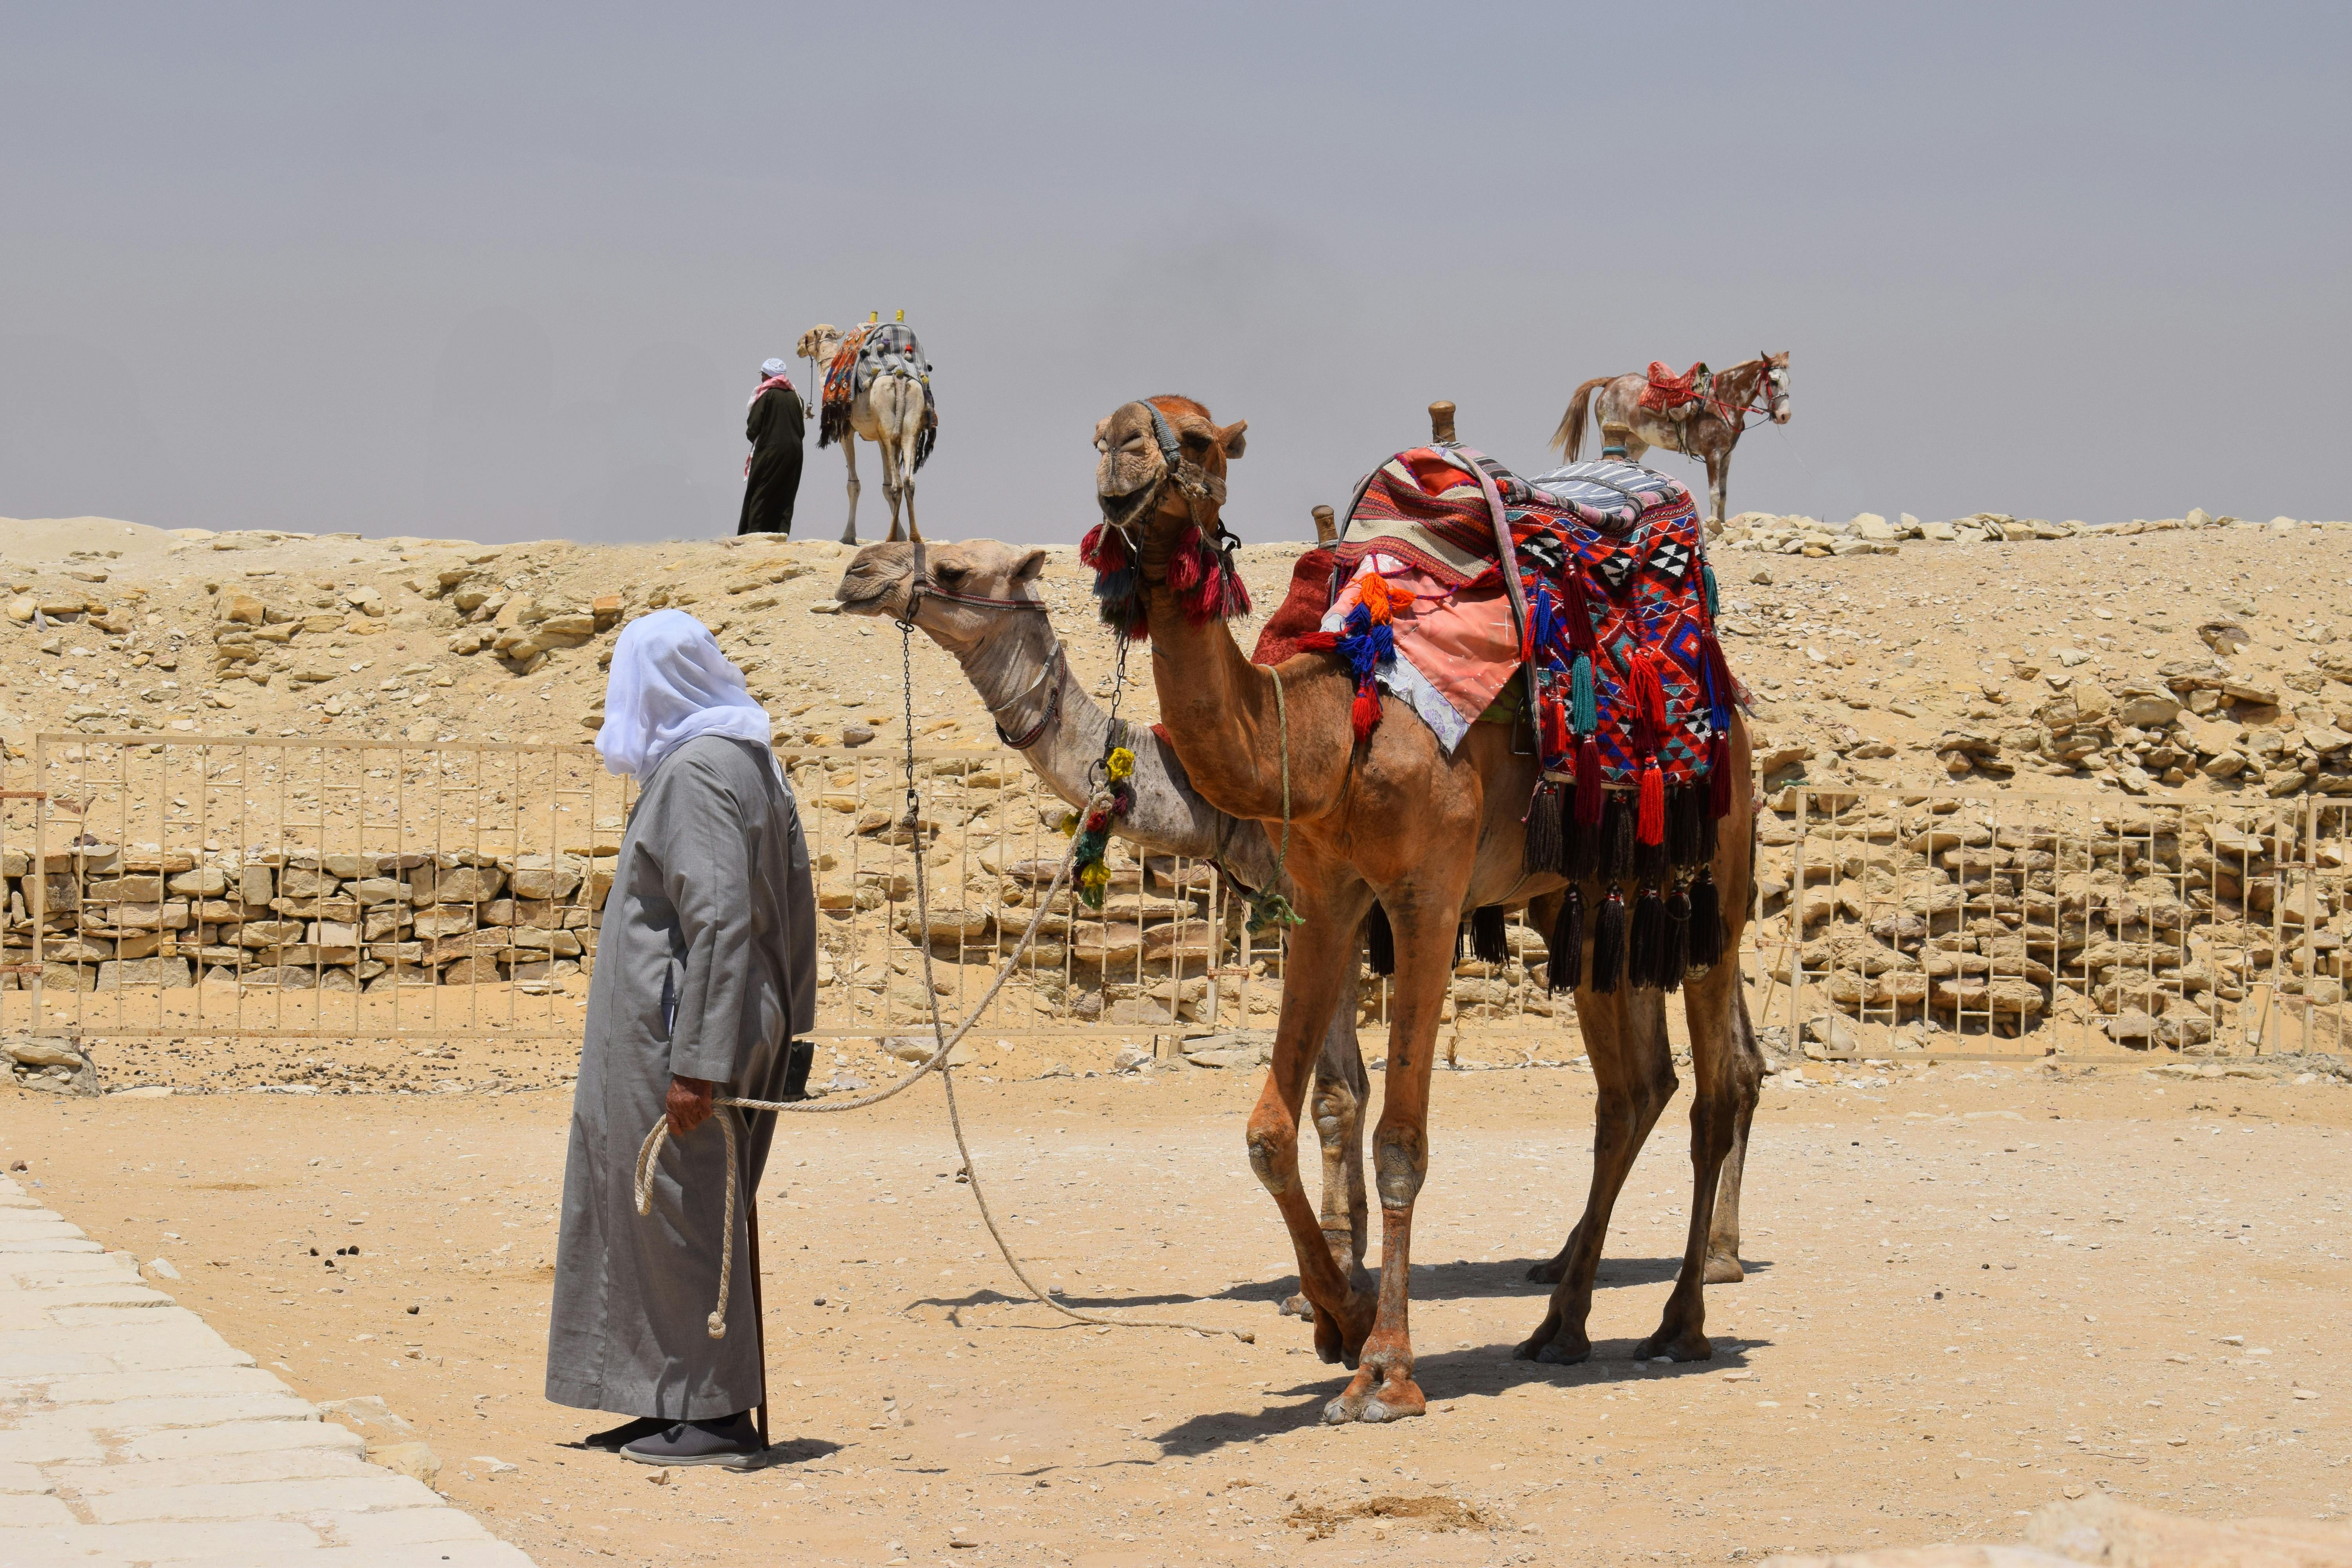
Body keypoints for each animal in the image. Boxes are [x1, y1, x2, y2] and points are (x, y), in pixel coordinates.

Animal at [797, 319, 937, 545]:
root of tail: (900, 377)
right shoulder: (879, 438)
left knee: (898, 483)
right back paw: (915, 537)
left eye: (808, 336)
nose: (799, 346)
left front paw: (848, 537)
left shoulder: (846, 430)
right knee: (907, 481)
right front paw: (902, 535)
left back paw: (891, 537)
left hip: (886, 420)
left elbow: (854, 485)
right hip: (909, 421)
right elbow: (886, 484)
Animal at [1092, 395, 1764, 1423]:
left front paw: (1385, 1370)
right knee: (1635, 1088)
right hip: (1583, 902)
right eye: (1100, 432)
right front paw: (1337, 1314)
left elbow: (1399, 1140)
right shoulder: (1327, 897)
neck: (1333, 733)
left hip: (1710, 881)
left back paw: (1678, 1322)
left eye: (1197, 436)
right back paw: (1562, 1323)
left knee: (1719, 1086)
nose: (1123, 448)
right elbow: (1269, 1130)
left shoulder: (1427, 899)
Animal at [1553, 353, 1791, 531]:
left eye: (1789, 381)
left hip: (1636, 444)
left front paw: (1722, 524)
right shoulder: (1712, 454)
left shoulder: (1726, 455)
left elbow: (1723, 494)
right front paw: (1714, 526)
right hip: (1609, 436)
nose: (1784, 416)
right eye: (1773, 381)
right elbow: (1714, 494)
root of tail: (1610, 382)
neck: (1722, 401)